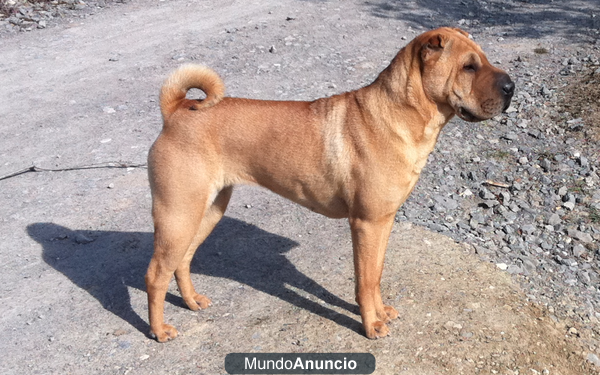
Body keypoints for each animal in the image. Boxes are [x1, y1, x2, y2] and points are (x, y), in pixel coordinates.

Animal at [146, 27, 516, 342]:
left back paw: (192, 301)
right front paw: (370, 326)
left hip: (207, 210)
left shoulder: (383, 223)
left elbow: (375, 276)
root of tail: (177, 110)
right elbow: (365, 281)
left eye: (484, 59)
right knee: (156, 274)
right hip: (178, 215)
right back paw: (160, 330)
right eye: (468, 67)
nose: (511, 87)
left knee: (182, 261)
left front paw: (380, 314)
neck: (401, 116)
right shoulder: (366, 224)